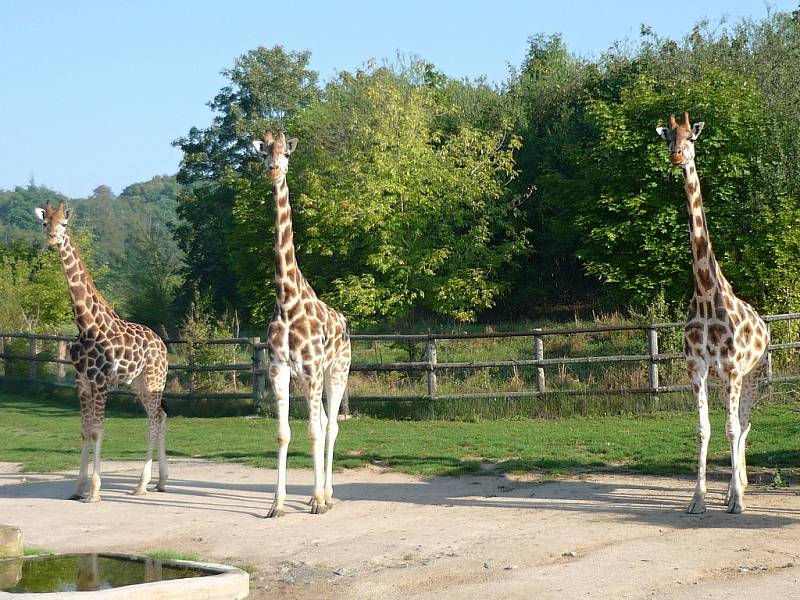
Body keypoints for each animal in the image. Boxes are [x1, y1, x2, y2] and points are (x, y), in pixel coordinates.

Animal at [34, 200, 169, 502]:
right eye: (45, 222)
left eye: (64, 223)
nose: (52, 238)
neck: (85, 323)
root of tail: (163, 345)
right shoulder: (82, 381)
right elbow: (85, 430)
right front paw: (77, 488)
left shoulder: (100, 381)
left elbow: (98, 430)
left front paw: (94, 491)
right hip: (138, 383)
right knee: (160, 416)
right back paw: (162, 481)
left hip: (154, 380)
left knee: (154, 420)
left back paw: (142, 484)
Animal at [250, 130, 350, 516]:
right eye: (263, 154)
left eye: (287, 154)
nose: (274, 171)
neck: (287, 300)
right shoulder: (279, 369)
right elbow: (284, 433)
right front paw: (277, 505)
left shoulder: (311, 370)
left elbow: (313, 432)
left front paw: (320, 502)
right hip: (316, 377)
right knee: (323, 422)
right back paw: (314, 493)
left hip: (337, 371)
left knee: (331, 426)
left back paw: (326, 494)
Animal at [656, 110, 768, 512]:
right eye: (668, 137)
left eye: (692, 137)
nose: (677, 156)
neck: (705, 292)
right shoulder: (698, 367)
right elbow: (703, 428)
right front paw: (698, 499)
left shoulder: (734, 368)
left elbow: (733, 428)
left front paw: (736, 501)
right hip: (725, 381)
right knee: (736, 422)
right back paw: (730, 489)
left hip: (754, 378)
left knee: (745, 423)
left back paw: (739, 491)